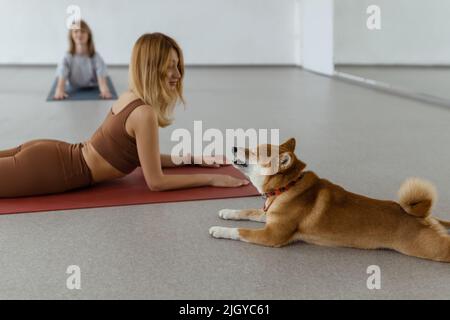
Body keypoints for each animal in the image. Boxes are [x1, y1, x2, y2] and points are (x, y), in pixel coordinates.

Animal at [210, 138, 450, 262]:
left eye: (253, 152)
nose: (233, 146)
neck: (286, 188)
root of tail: (423, 217)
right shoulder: (269, 216)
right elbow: (247, 211)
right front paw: (227, 212)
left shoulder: (272, 235)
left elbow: (241, 232)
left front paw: (219, 230)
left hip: (429, 248)